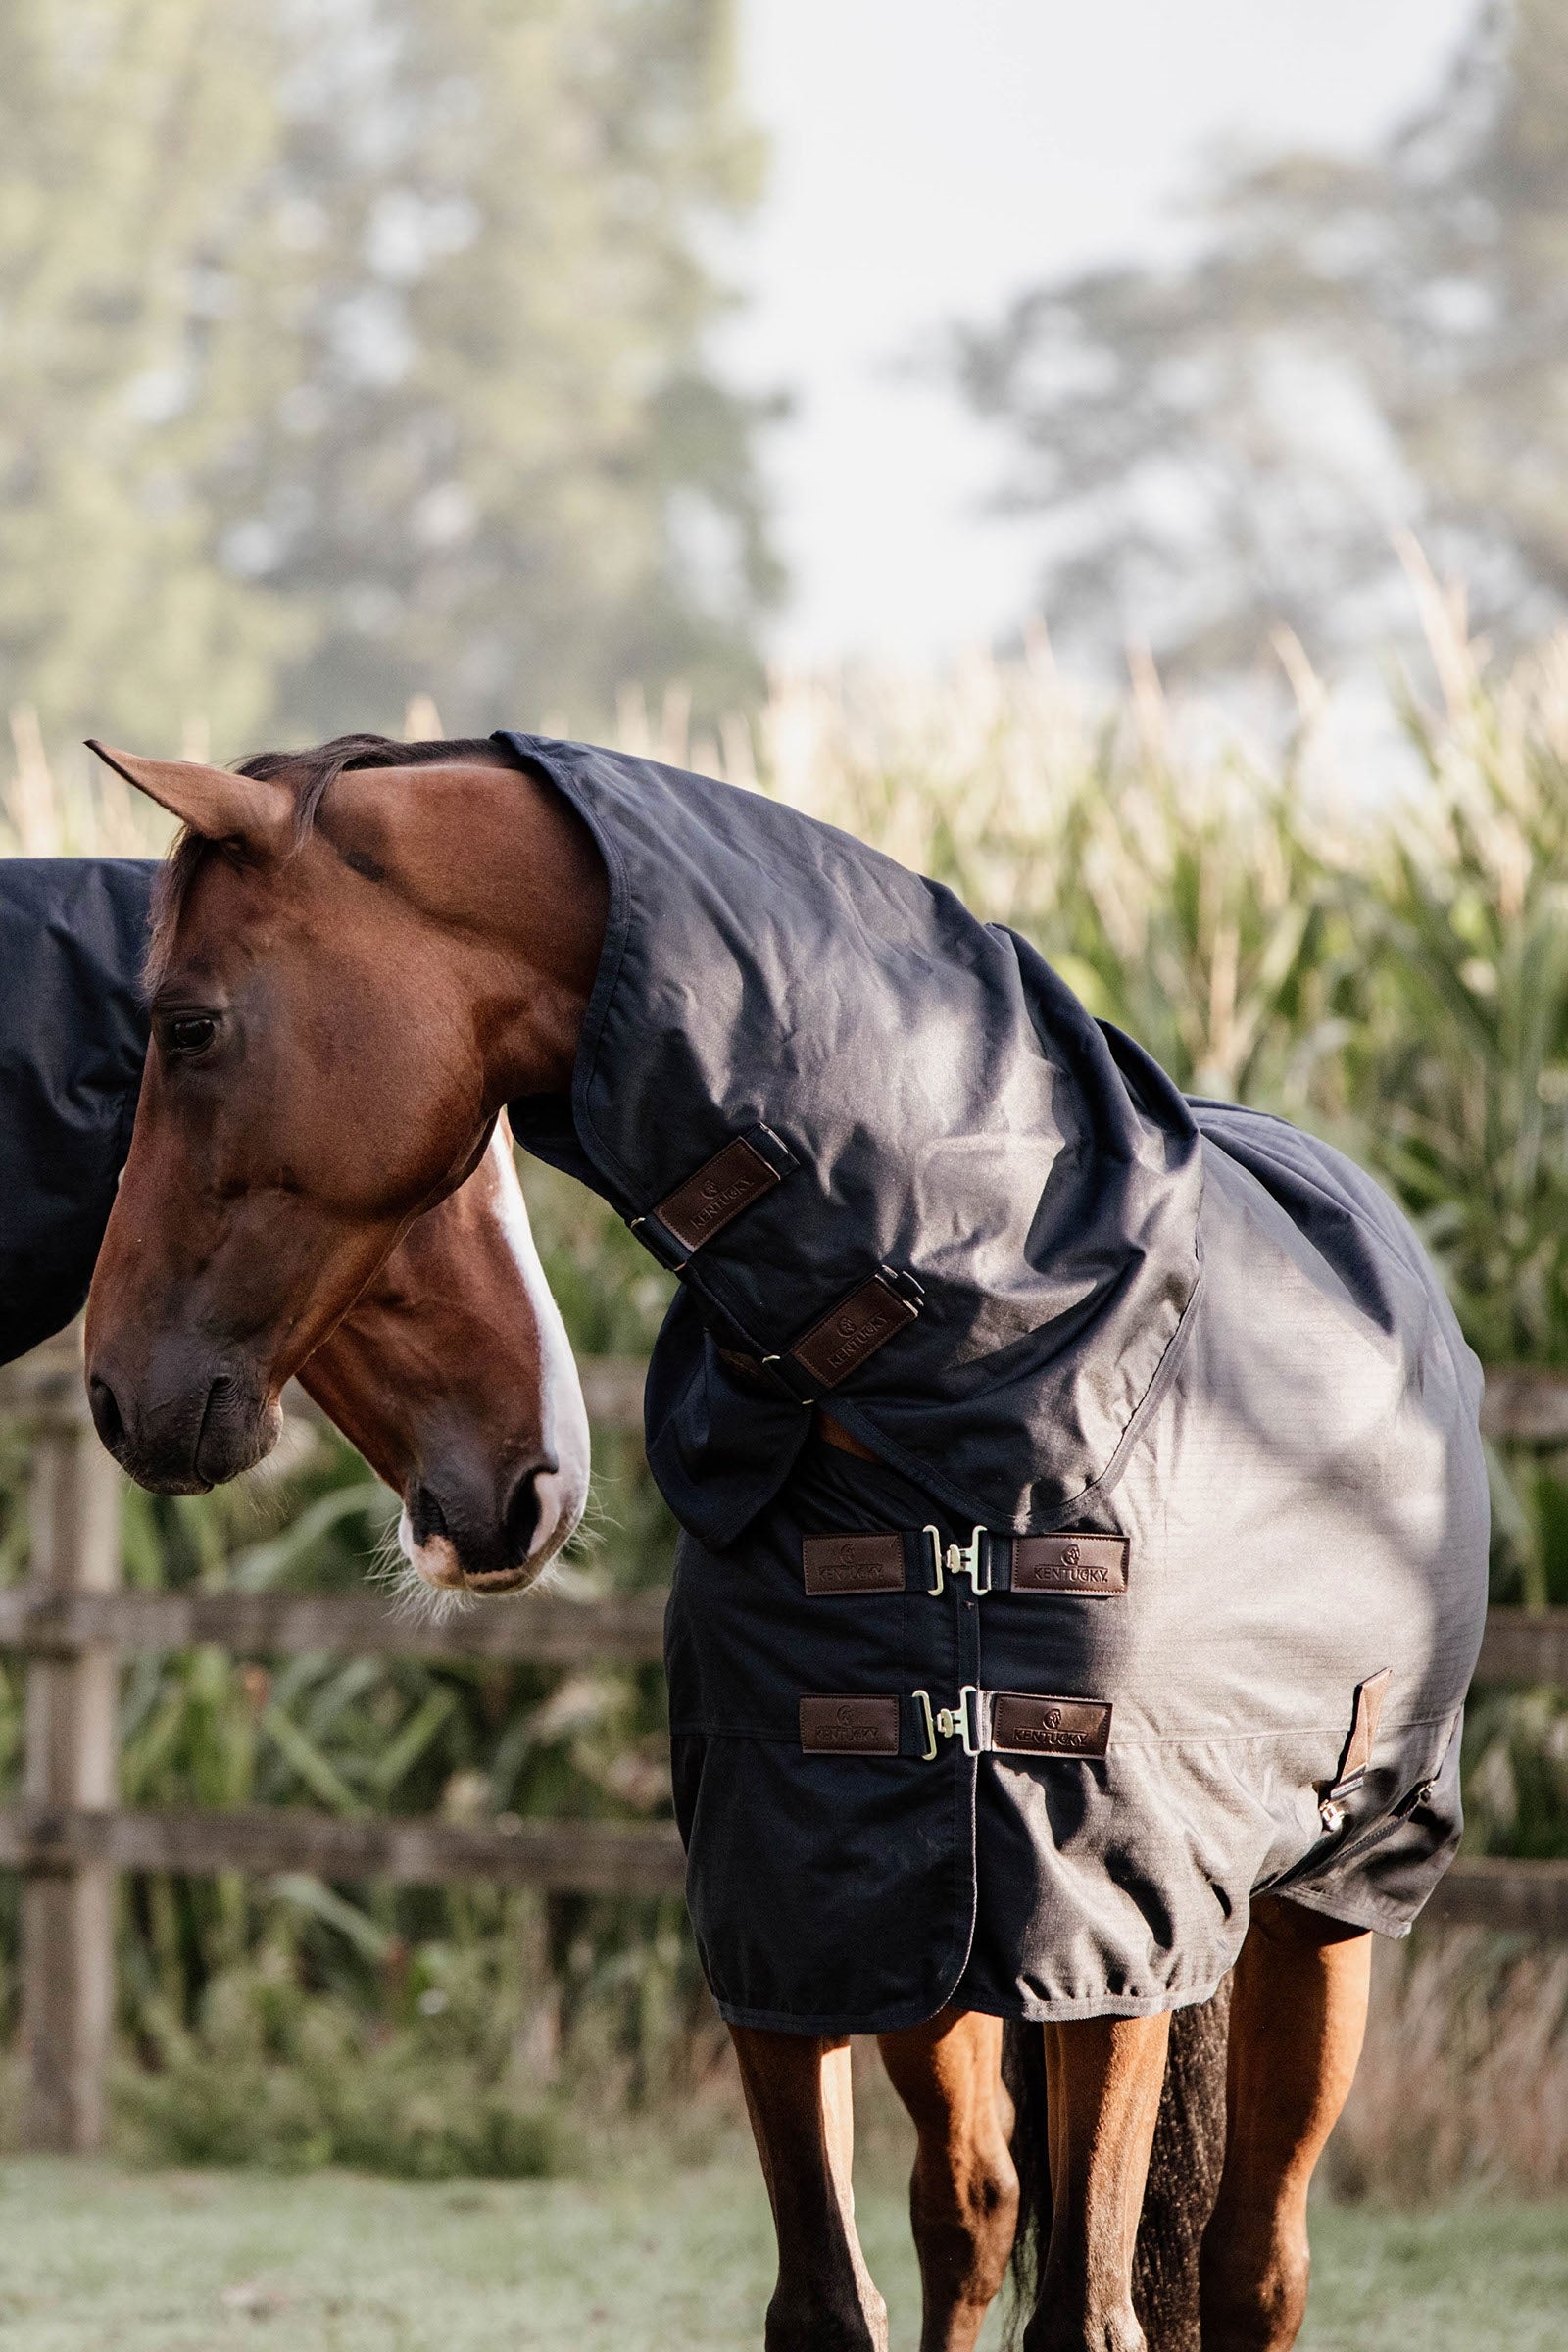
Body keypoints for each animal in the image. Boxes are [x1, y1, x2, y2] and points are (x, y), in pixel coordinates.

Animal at [81, 731, 1486, 2352]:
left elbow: (1091, 2308)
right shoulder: (796, 1917)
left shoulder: (1118, 1931)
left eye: (187, 1026)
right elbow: (831, 2293)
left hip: (1328, 1903)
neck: (969, 1385)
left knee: (1255, 2260)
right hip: (943, 1957)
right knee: (971, 2207)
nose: (116, 1391)